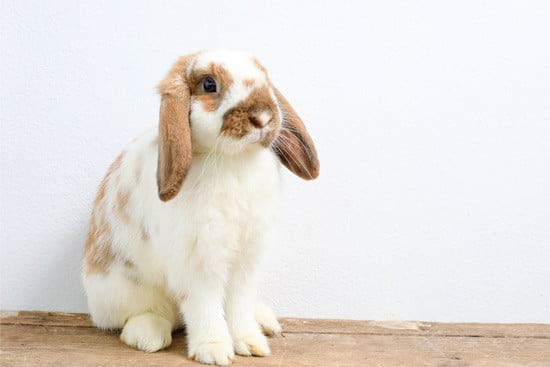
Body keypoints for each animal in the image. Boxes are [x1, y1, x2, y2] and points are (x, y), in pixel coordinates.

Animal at [83, 50, 320, 366]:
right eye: (209, 85)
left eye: (266, 80)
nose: (263, 117)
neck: (233, 161)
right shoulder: (197, 261)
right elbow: (204, 306)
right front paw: (215, 350)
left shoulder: (247, 259)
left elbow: (239, 304)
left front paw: (250, 343)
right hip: (122, 291)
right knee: (136, 317)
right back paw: (148, 335)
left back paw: (265, 320)